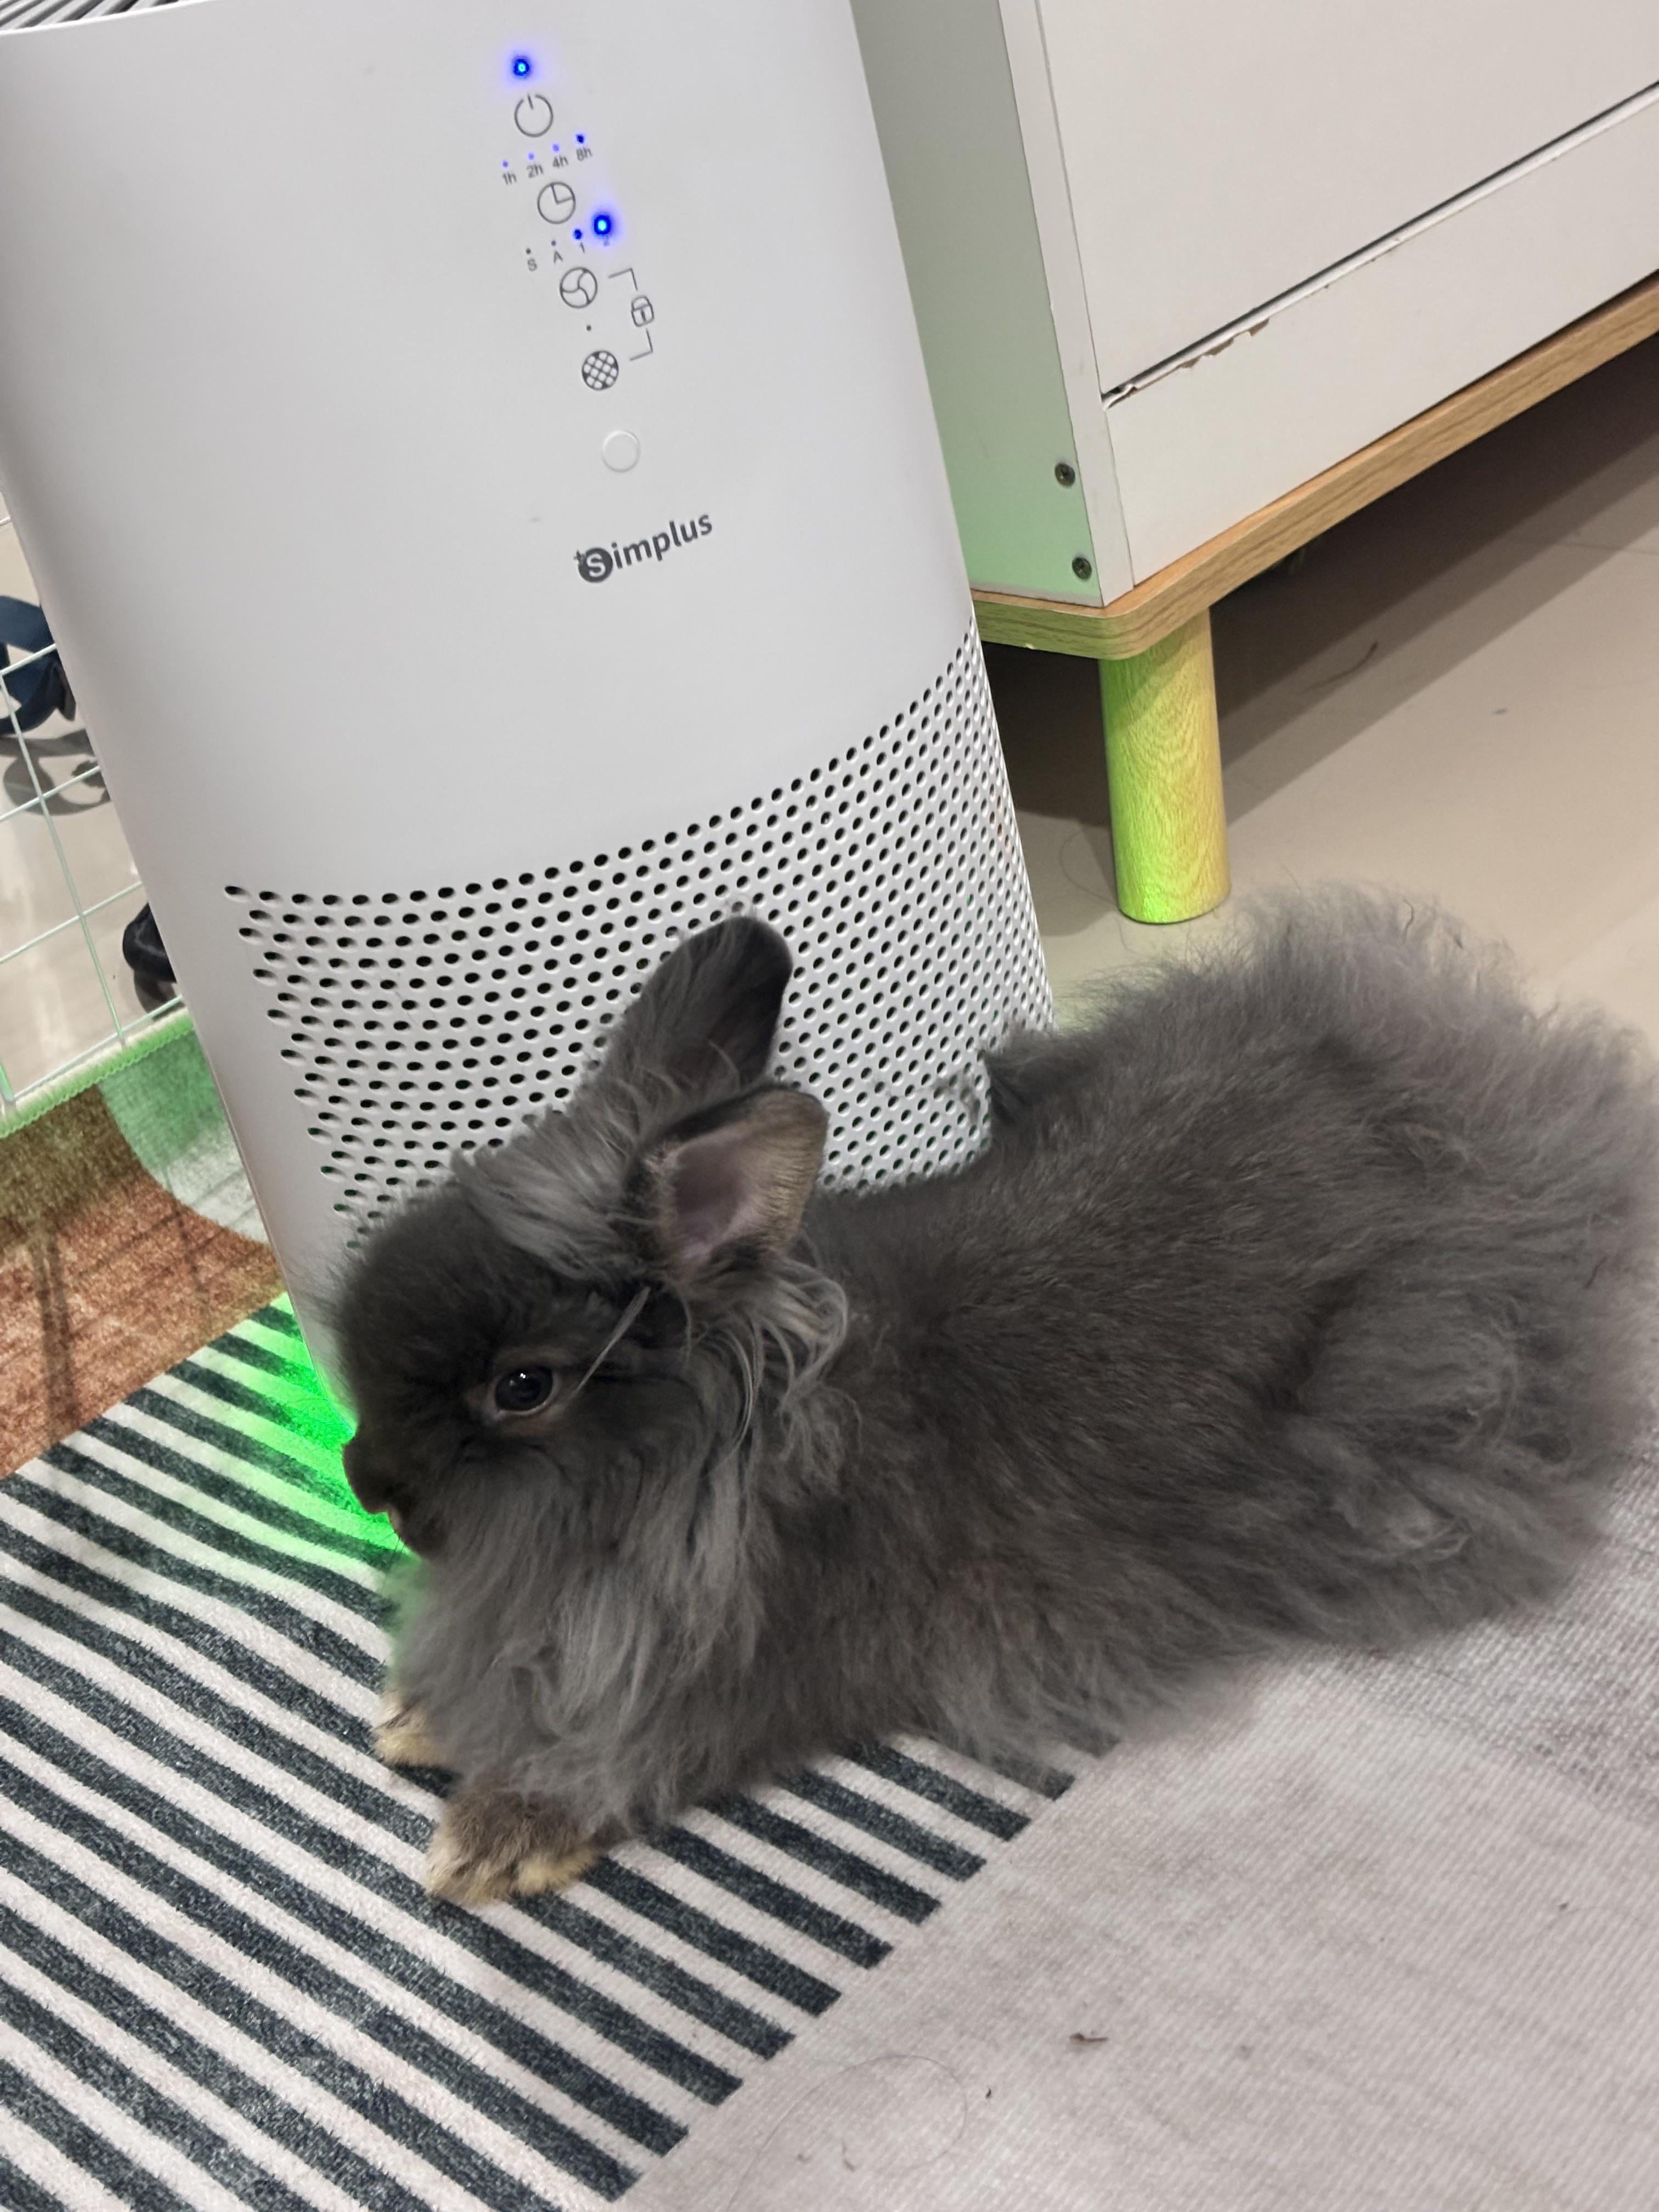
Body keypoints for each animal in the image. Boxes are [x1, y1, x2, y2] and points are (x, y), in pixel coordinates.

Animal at [336, 891, 1659, 1905]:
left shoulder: (735, 1685)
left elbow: (619, 1758)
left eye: (521, 1387)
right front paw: (413, 1718)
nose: (365, 1480)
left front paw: (488, 1840)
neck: (723, 1459)